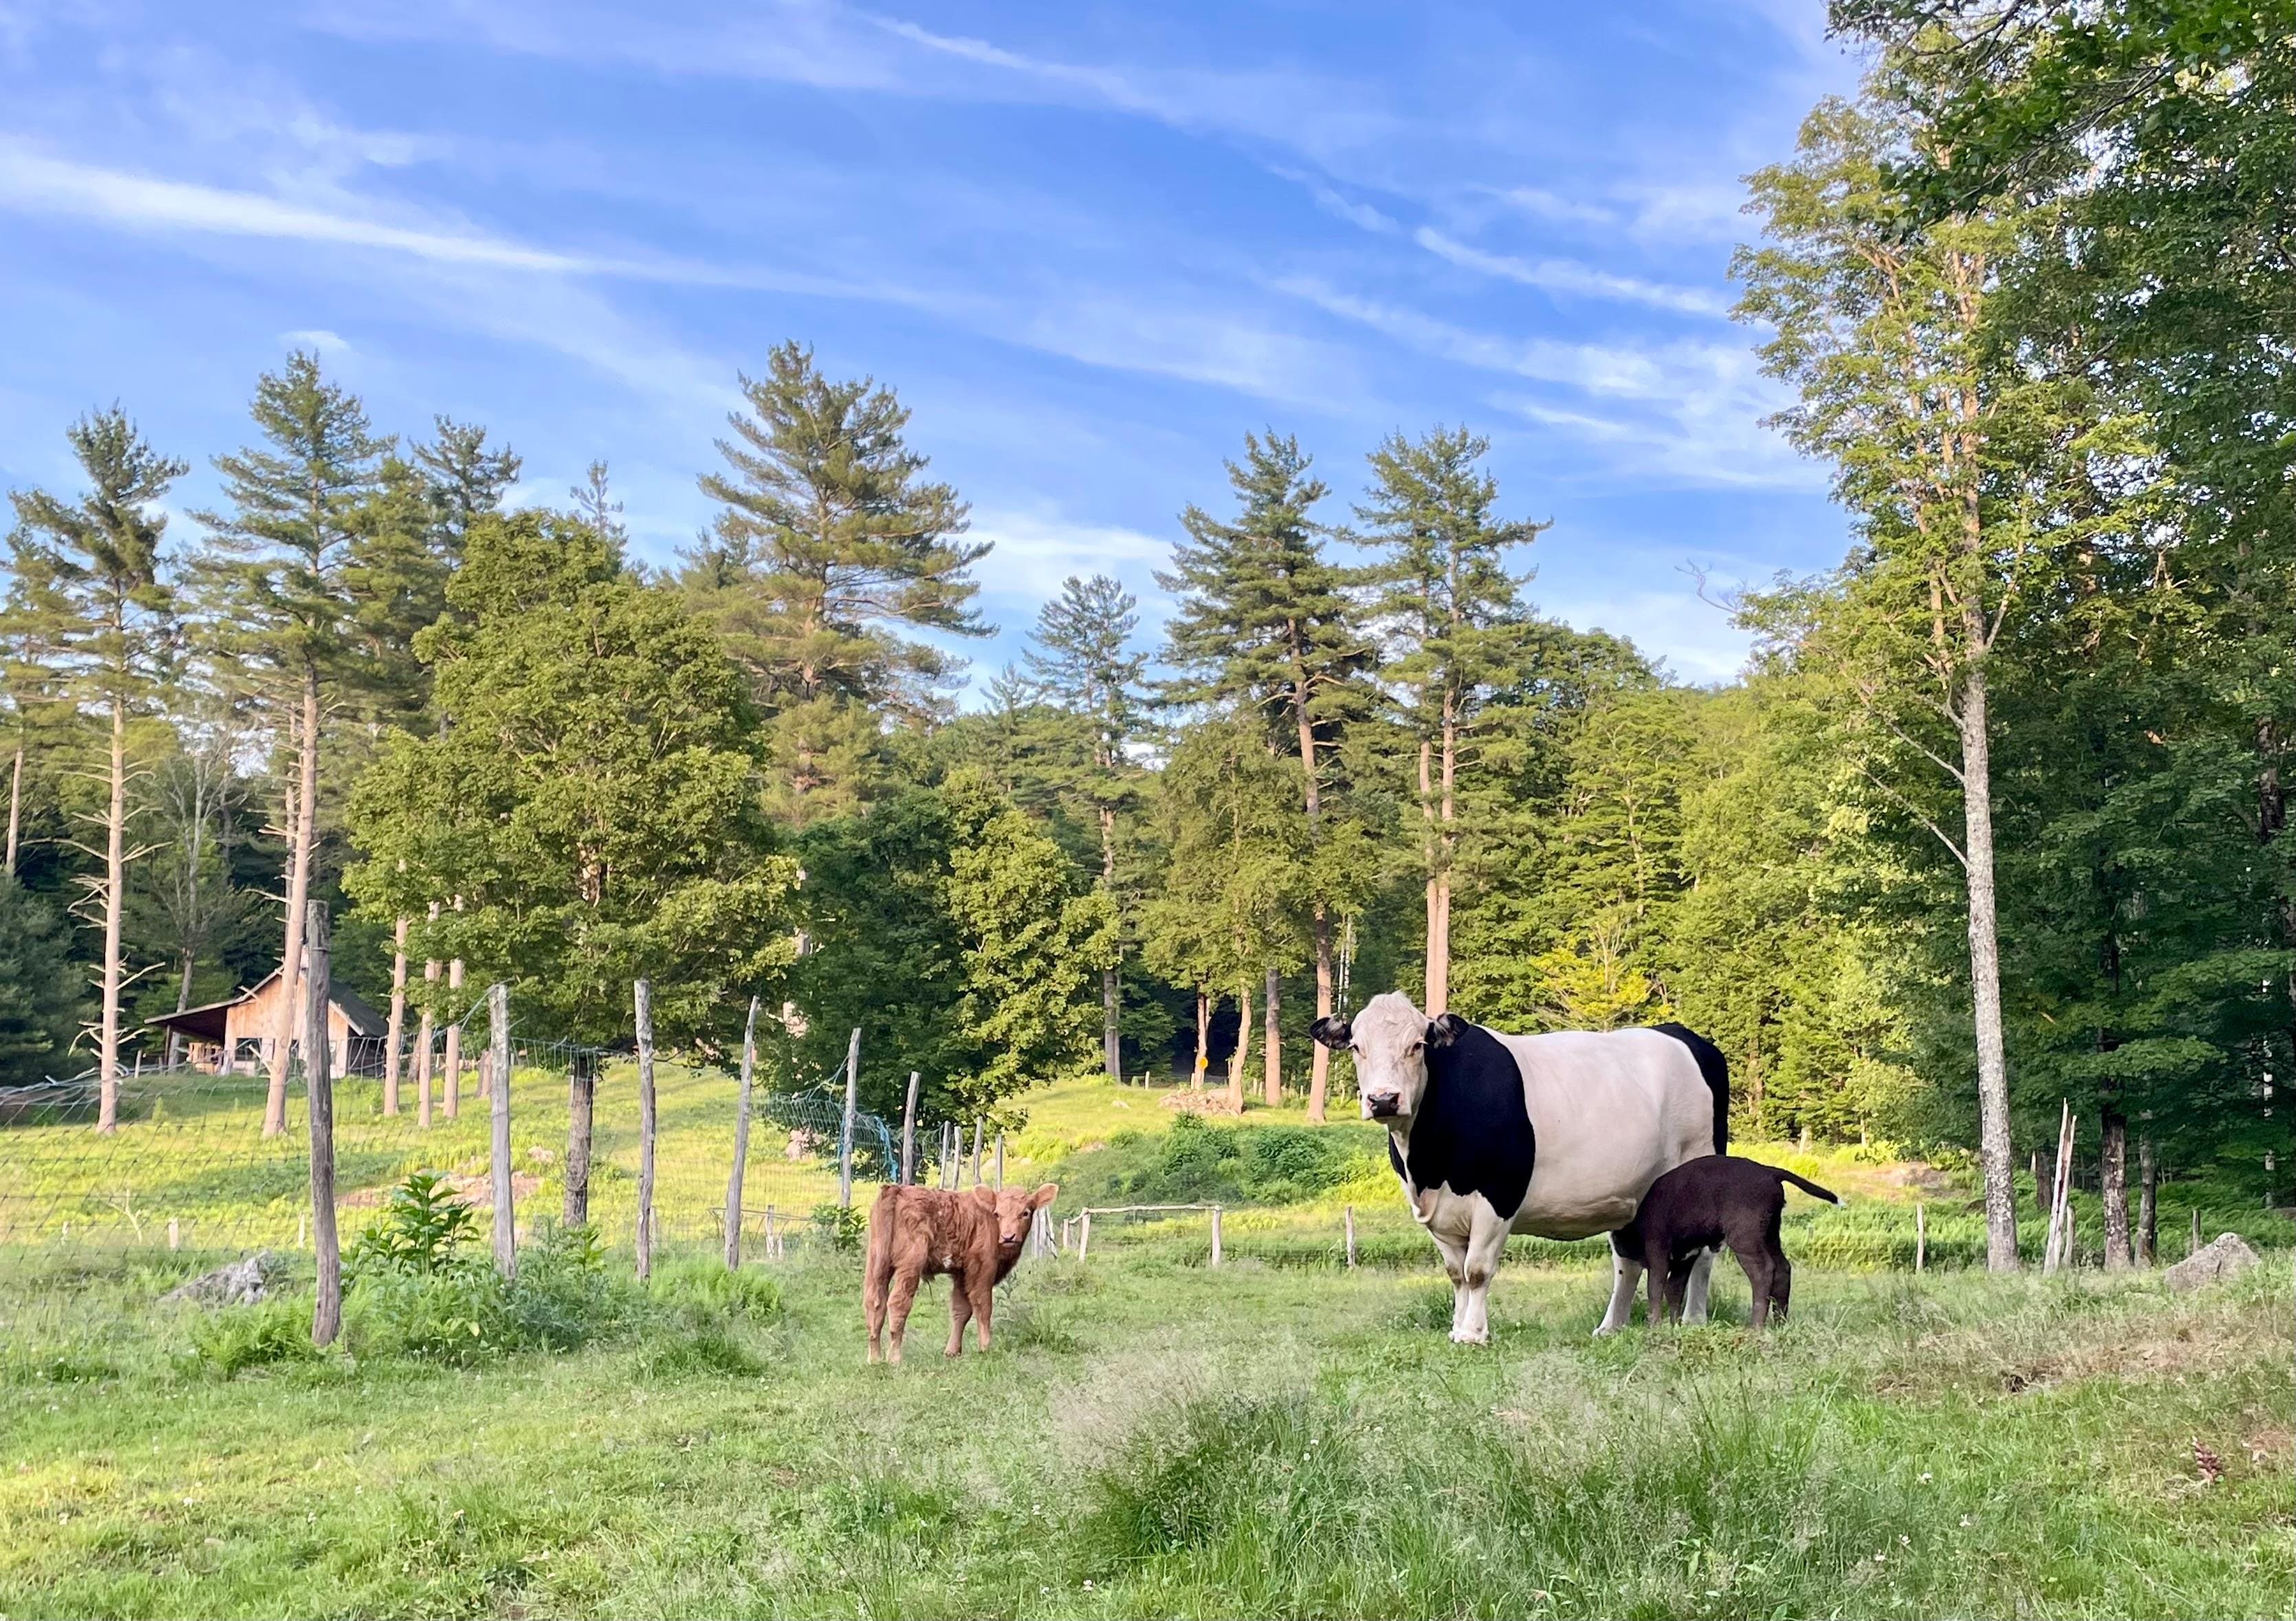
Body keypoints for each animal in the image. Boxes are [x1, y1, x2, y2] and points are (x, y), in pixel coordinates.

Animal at [862, 1181, 1058, 1365]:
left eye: (1025, 1213)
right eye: (997, 1214)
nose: (1008, 1237)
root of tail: (896, 1189)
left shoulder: (961, 1273)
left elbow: (961, 1310)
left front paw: (952, 1351)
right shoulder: (982, 1267)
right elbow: (983, 1306)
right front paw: (986, 1347)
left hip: (877, 1262)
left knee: (874, 1302)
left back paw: (875, 1359)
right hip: (910, 1263)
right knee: (898, 1302)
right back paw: (894, 1358)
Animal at [1310, 991, 1728, 1343]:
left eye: (1417, 1046)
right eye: (1357, 1047)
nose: (1383, 1099)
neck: (1429, 1168)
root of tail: (1680, 1033)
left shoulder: (1499, 1195)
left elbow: (1477, 1270)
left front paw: (1474, 1334)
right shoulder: (1436, 1212)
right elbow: (1456, 1274)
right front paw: (1457, 1329)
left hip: (1700, 1173)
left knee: (1703, 1255)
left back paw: (1693, 1320)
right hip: (1631, 1195)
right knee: (1627, 1259)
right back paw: (1611, 1327)